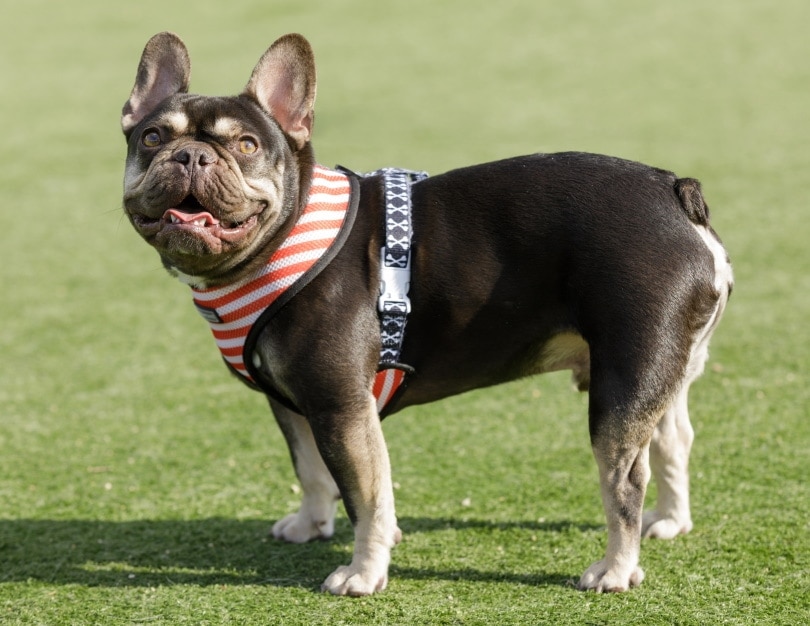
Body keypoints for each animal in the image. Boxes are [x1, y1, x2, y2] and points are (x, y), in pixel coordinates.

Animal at [120, 30, 732, 596]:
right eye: (151, 137)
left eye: (246, 145)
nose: (190, 155)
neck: (283, 236)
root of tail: (675, 193)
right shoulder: (294, 404)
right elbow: (312, 471)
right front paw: (311, 524)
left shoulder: (342, 408)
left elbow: (366, 496)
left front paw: (363, 573)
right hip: (663, 371)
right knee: (673, 439)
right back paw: (670, 521)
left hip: (621, 385)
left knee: (625, 478)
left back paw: (616, 569)